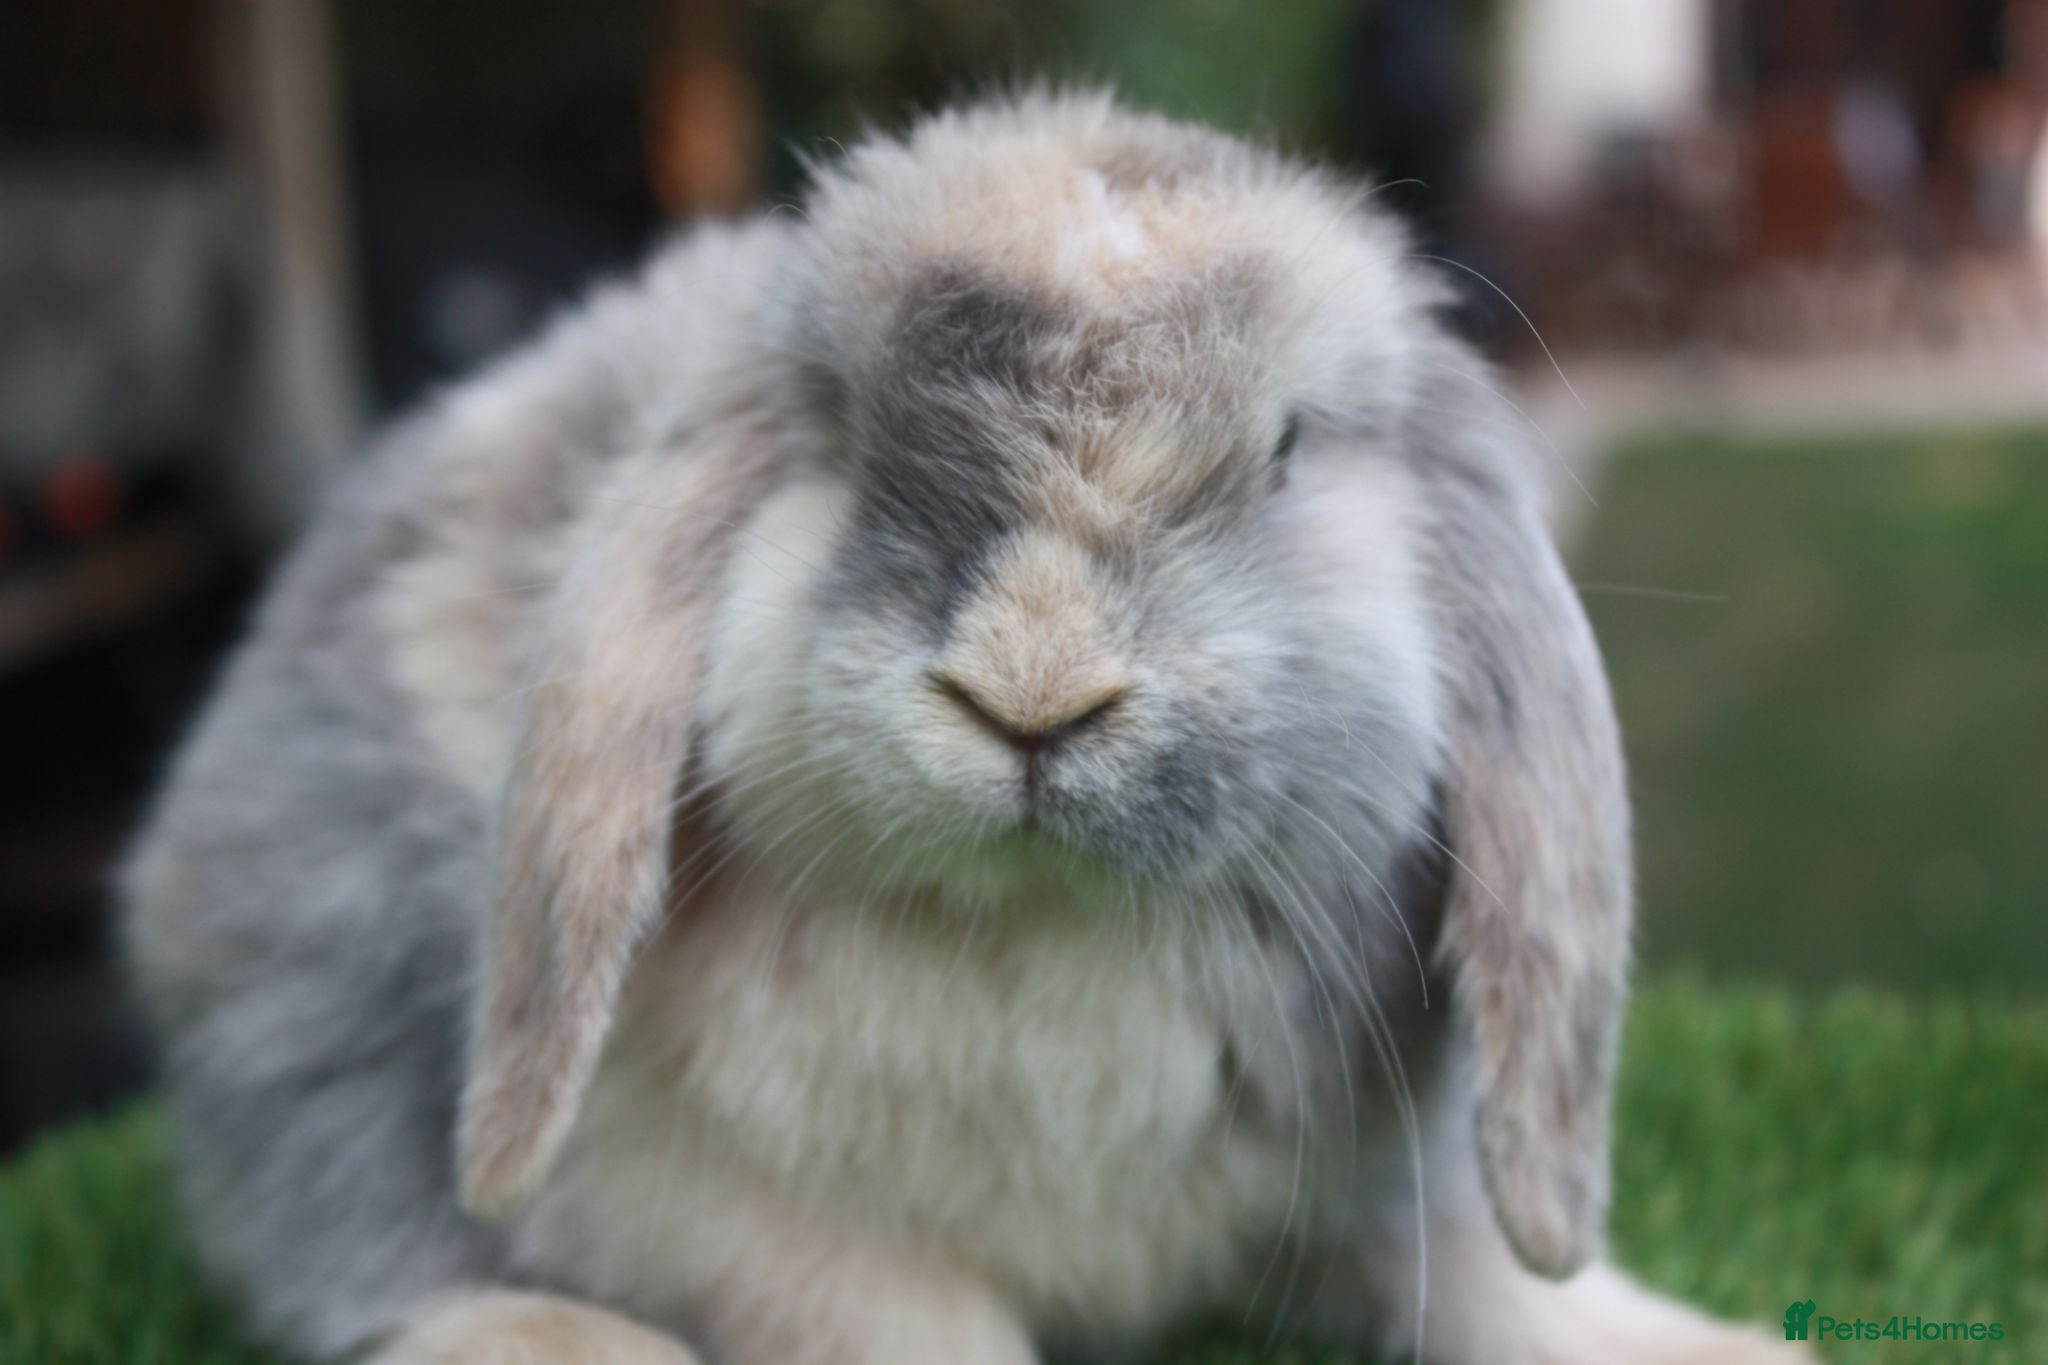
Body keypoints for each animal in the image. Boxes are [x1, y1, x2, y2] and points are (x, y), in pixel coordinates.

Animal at [121, 92, 1808, 1365]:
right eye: (854, 439)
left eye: (1284, 451)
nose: (1031, 694)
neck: (1050, 925)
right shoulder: (728, 1225)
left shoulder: (1390, 1188)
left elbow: (1504, 1292)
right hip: (315, 1006)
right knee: (350, 1257)